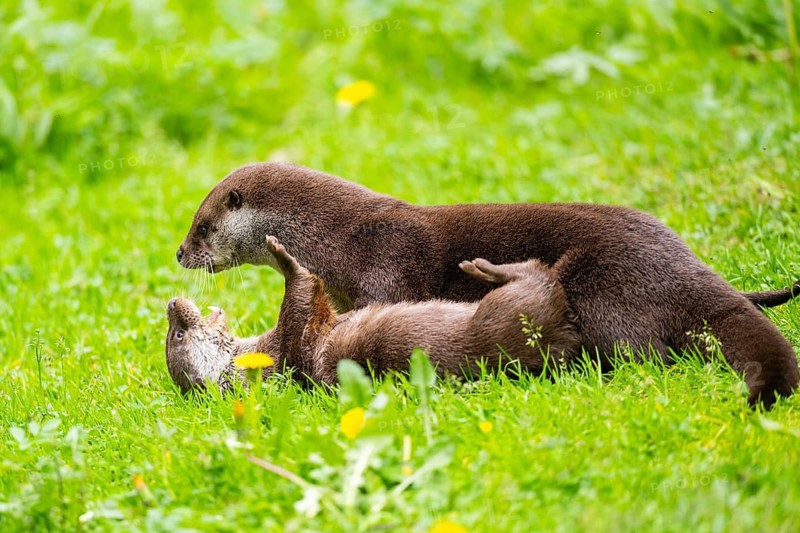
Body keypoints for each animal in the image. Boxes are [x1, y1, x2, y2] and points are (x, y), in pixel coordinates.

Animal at [166, 236, 578, 393]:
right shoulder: (293, 339)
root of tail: (558, 343)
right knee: (535, 277)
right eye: (178, 336)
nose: (171, 306)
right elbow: (301, 292)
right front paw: (280, 253)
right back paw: (484, 269)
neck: (263, 356)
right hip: (505, 314)